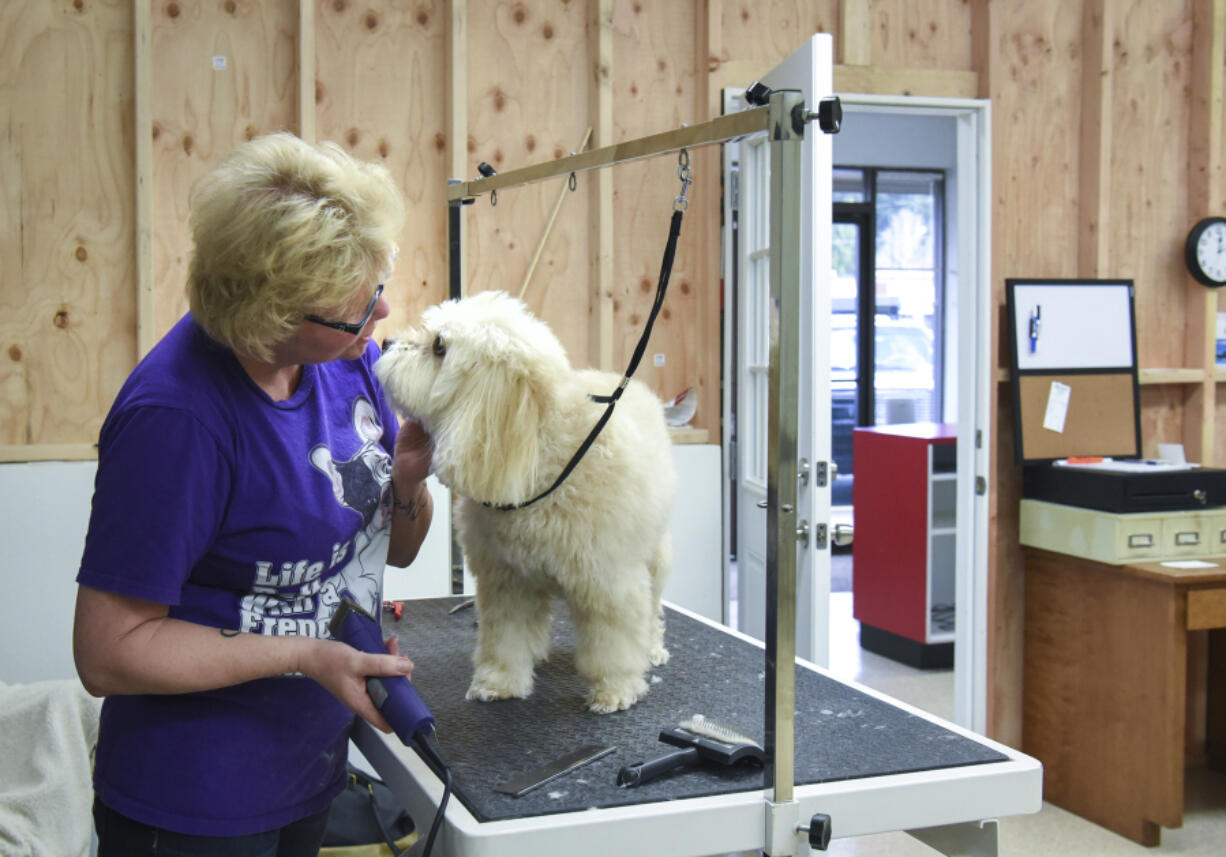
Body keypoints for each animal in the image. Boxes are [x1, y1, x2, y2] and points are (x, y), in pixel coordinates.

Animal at [375, 291, 681, 716]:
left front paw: (614, 689)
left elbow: (613, 644)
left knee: (651, 611)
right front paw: (500, 682)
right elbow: (507, 639)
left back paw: (651, 648)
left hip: (655, 556)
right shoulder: (508, 581)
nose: (385, 341)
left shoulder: (609, 583)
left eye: (439, 346)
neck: (538, 455)